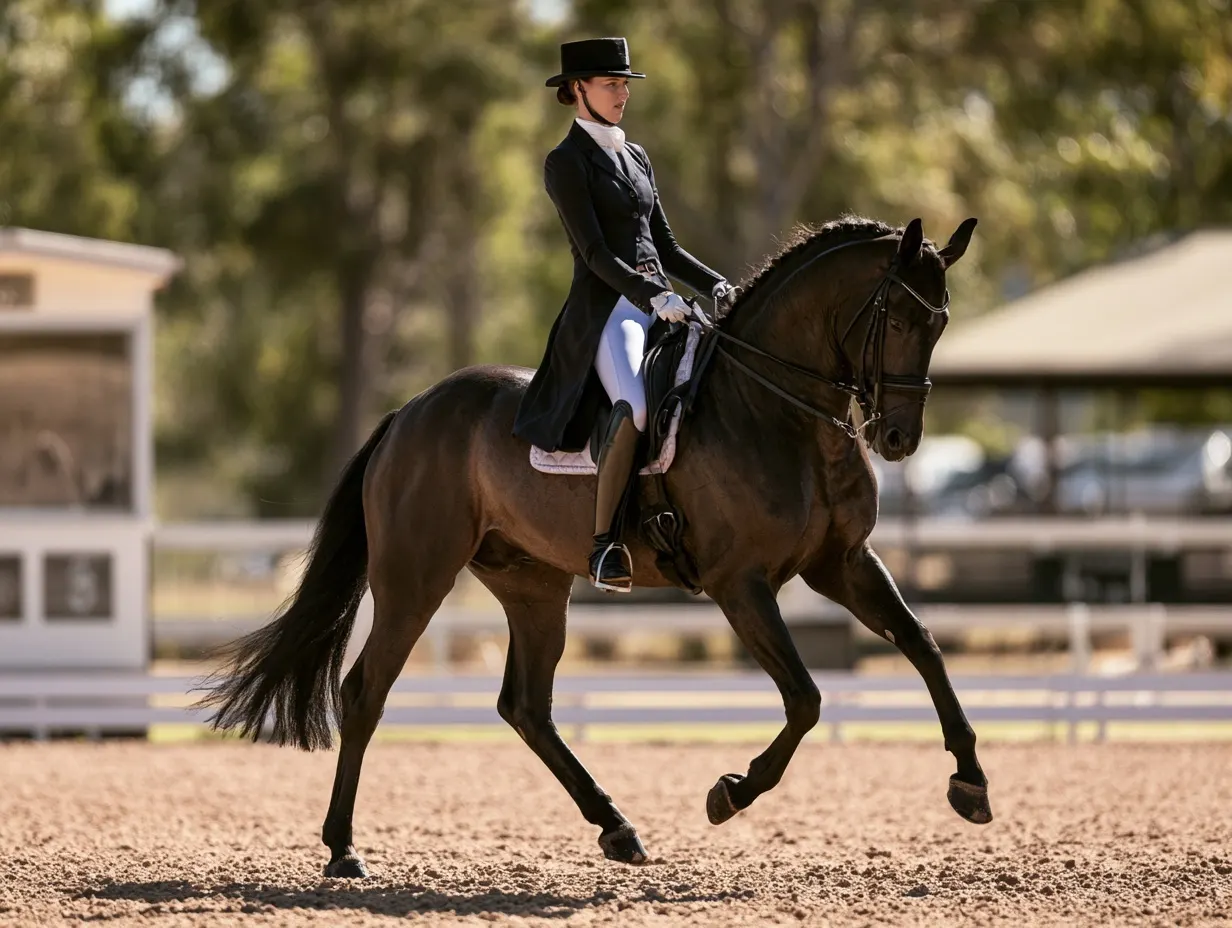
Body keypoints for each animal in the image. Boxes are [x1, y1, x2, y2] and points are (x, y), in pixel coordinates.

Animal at [197, 214, 990, 877]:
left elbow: (922, 644)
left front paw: (970, 781)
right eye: (898, 317)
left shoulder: (842, 563)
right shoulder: (741, 582)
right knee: (366, 692)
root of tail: (410, 412)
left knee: (526, 707)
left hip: (534, 584)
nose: (899, 437)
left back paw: (618, 828)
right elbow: (805, 697)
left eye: (942, 320)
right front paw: (730, 793)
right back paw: (343, 851)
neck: (778, 411)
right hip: (415, 579)